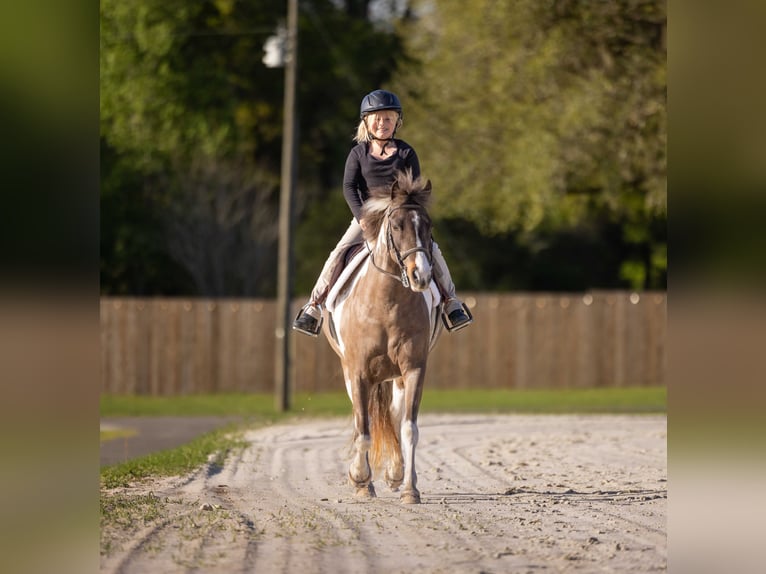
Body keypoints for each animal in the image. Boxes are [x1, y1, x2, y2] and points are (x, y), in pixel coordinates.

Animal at [322, 170, 443, 504]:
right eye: (398, 225)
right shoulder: (358, 372)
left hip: (396, 378)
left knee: (394, 416)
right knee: (360, 418)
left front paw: (409, 489)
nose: (421, 276)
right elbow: (363, 429)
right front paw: (361, 481)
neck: (386, 303)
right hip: (351, 373)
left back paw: (396, 474)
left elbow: (409, 429)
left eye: (428, 226)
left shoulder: (414, 369)